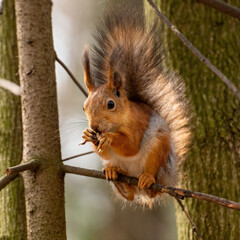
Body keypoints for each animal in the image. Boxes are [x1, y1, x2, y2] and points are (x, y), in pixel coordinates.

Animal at [80, 6, 191, 205]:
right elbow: (104, 153)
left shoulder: (137, 124)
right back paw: (117, 178)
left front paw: (109, 137)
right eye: (84, 107)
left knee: (151, 187)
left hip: (158, 153)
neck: (119, 120)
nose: (95, 127)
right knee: (129, 195)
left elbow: (130, 146)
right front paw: (88, 135)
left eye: (111, 104)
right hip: (118, 168)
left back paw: (147, 179)